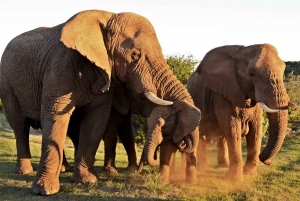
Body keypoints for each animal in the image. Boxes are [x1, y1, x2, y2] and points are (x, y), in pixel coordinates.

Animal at [0, 9, 202, 195]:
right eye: (135, 55)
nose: (183, 142)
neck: (107, 16)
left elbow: (96, 121)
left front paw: (86, 181)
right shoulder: (61, 65)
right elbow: (55, 116)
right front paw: (44, 191)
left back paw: (64, 169)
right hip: (7, 86)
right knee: (19, 126)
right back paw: (25, 171)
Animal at [186, 43, 296, 181]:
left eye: (283, 71)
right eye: (251, 74)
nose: (269, 162)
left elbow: (256, 130)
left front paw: (250, 174)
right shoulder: (222, 94)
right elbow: (233, 130)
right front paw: (234, 180)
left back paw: (222, 166)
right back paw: (203, 168)